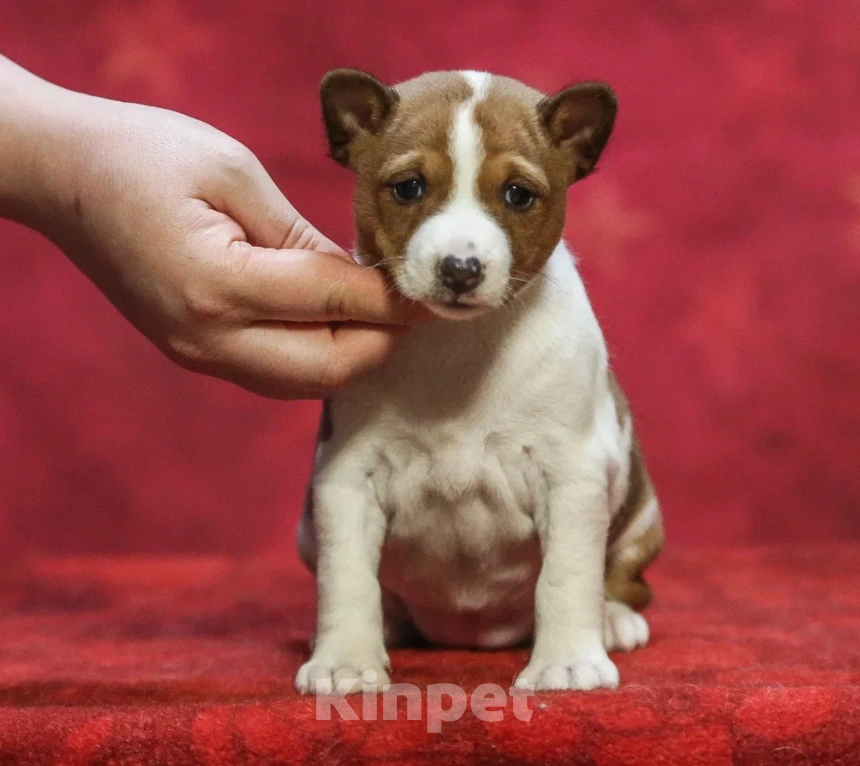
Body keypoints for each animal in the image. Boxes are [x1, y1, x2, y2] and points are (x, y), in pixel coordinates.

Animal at [296, 70, 664, 696]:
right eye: (409, 188)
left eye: (517, 195)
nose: (460, 269)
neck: (459, 345)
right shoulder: (347, 476)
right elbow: (346, 579)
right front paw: (345, 661)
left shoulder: (570, 474)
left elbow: (567, 576)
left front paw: (568, 662)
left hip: (641, 515)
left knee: (622, 577)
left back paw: (613, 620)